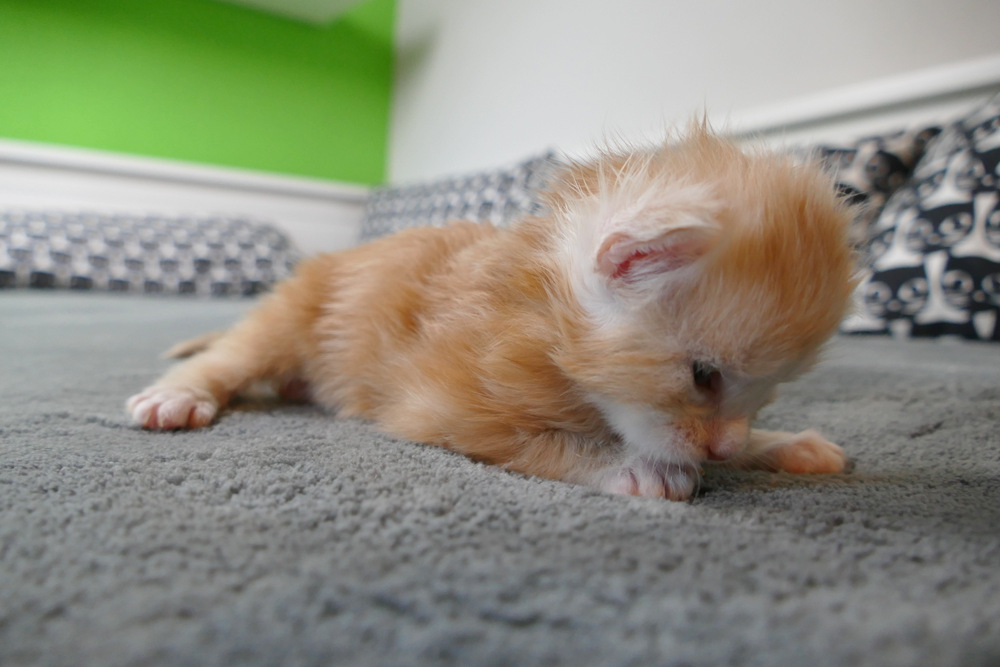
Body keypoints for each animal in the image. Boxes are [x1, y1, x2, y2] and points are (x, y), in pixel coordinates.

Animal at [127, 125, 858, 501]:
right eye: (703, 375)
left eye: (768, 392)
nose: (726, 446)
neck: (541, 317)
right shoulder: (442, 406)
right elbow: (542, 445)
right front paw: (634, 468)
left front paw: (775, 443)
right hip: (290, 318)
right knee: (228, 356)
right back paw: (178, 395)